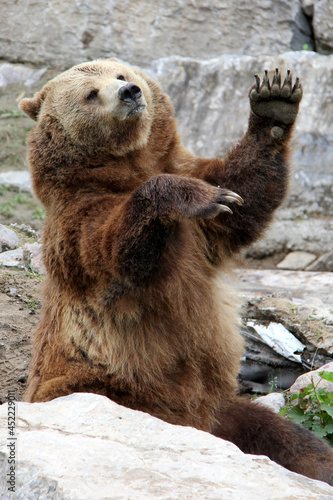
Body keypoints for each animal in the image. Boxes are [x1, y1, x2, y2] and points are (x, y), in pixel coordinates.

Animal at [20, 58, 332, 484]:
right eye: (90, 93)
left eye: (119, 74)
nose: (130, 92)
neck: (128, 165)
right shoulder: (77, 222)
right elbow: (115, 252)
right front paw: (190, 196)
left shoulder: (201, 220)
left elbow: (243, 197)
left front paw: (275, 101)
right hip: (107, 386)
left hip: (218, 411)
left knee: (285, 436)